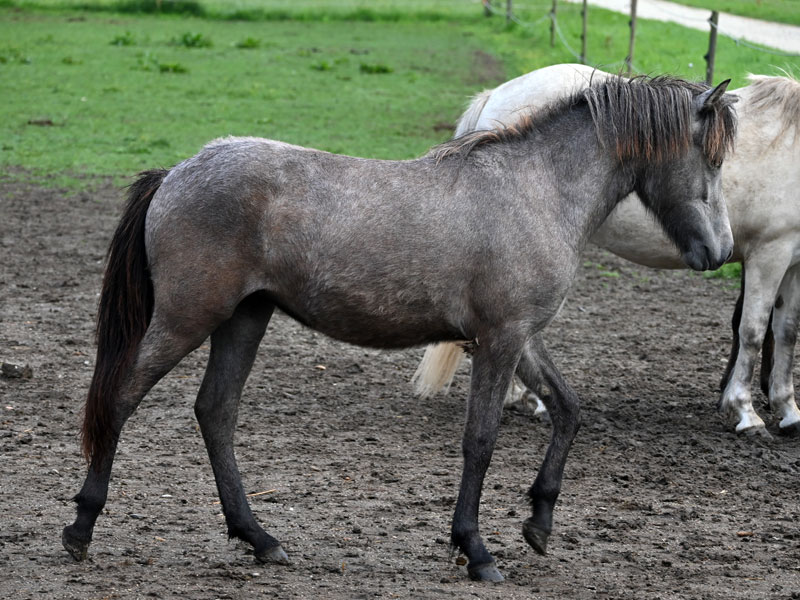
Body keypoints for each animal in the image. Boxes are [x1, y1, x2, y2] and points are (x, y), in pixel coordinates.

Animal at [62, 75, 736, 583]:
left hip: (243, 319)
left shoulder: (521, 338)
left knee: (215, 412)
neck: (534, 190)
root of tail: (177, 172)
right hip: (188, 317)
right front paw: (477, 551)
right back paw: (81, 529)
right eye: (710, 158)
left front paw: (539, 524)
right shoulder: (500, 341)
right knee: (120, 398)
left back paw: (260, 539)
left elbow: (569, 412)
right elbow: (480, 441)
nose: (720, 251)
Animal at [413, 64, 800, 437]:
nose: (723, 248)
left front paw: (787, 409)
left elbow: (786, 330)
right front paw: (746, 412)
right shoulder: (769, 254)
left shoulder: (793, 263)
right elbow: (752, 330)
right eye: (715, 162)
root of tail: (495, 93)